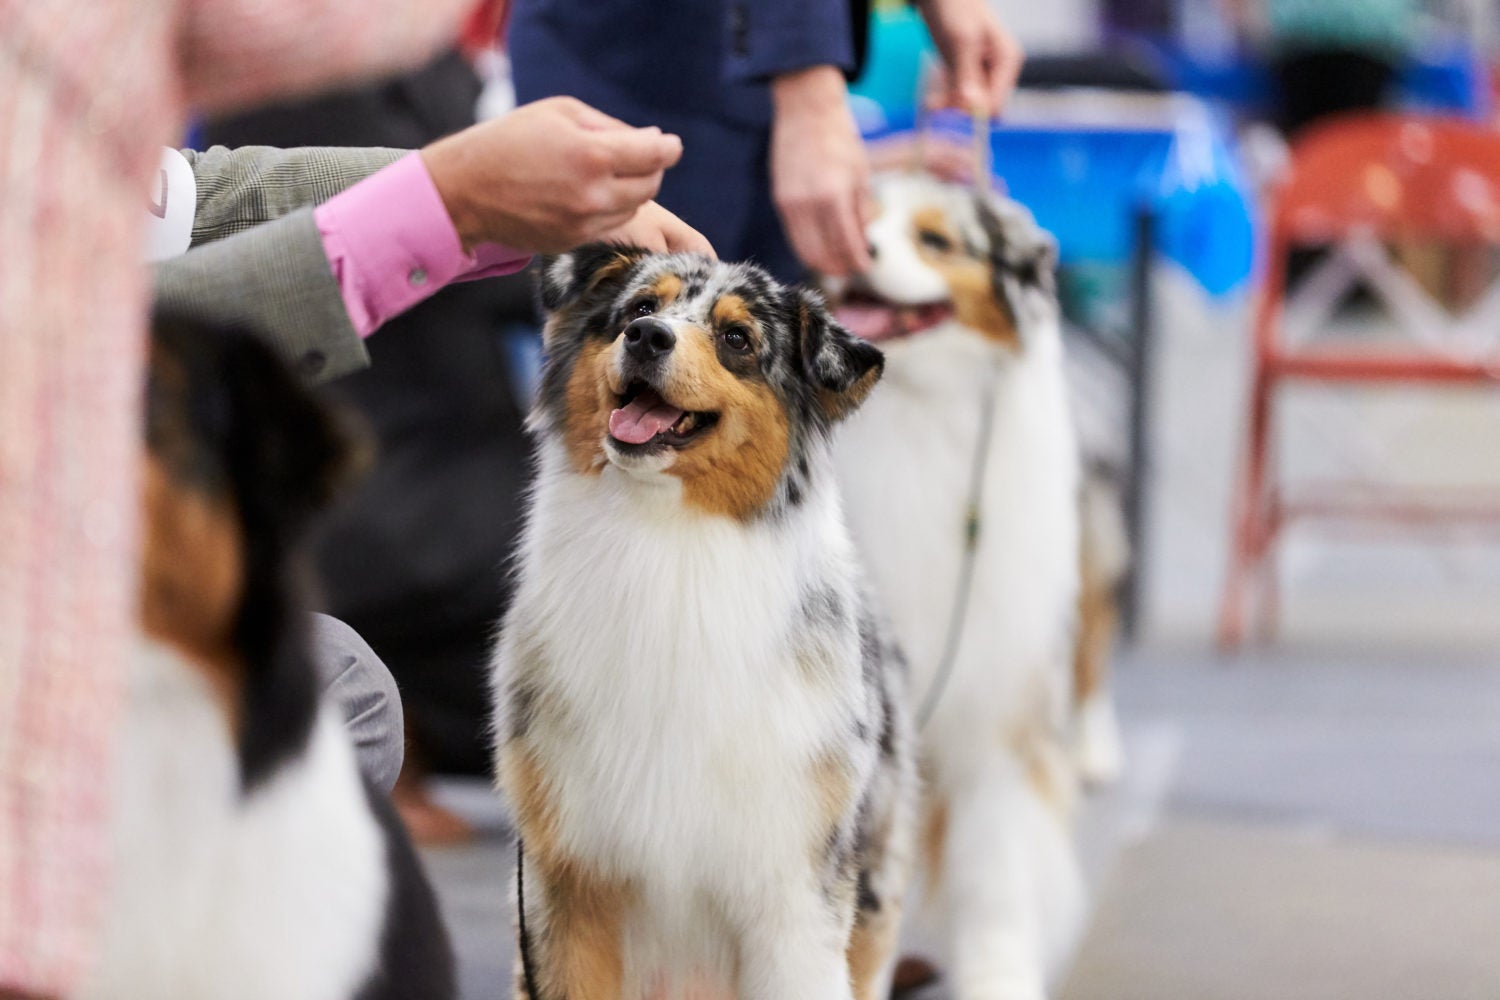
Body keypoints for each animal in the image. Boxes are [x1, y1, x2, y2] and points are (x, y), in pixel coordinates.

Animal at [492, 245, 912, 1000]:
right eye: (638, 308)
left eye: (737, 338)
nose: (647, 338)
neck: (666, 539)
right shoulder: (565, 880)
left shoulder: (792, 888)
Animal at [834, 176, 1128, 1000]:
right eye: (862, 215)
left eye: (936, 240)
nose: (859, 246)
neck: (917, 406)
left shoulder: (999, 692)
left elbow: (996, 856)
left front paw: (998, 968)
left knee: (1092, 653)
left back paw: (1095, 749)